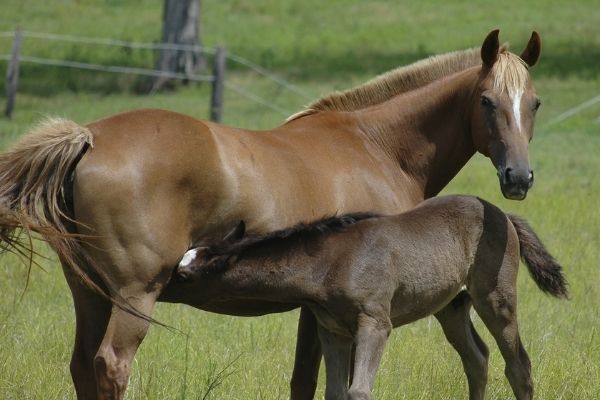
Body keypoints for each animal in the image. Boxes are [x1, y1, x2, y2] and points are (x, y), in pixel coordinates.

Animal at [177, 196, 568, 400]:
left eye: (185, 275)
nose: (167, 278)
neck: (330, 262)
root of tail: (504, 214)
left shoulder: (375, 323)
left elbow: (358, 391)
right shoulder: (332, 329)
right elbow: (335, 392)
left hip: (495, 298)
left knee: (518, 365)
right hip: (451, 307)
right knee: (477, 358)